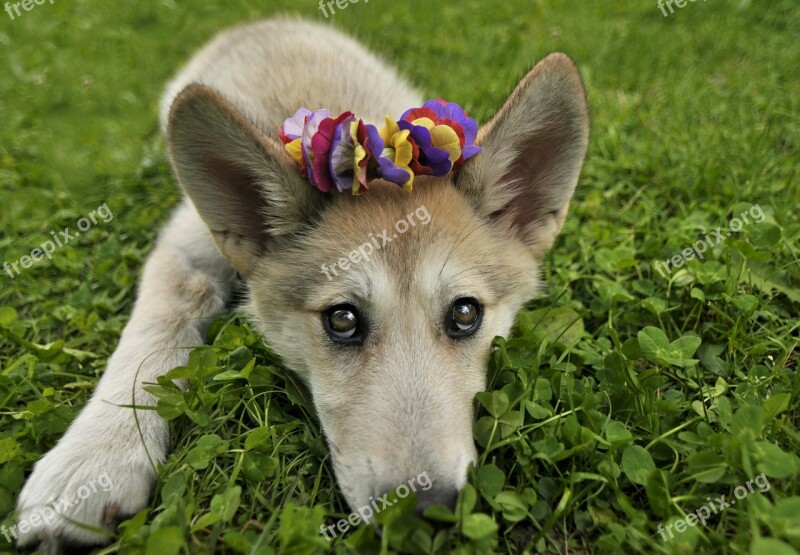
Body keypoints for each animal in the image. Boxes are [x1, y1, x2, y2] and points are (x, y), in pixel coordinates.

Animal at [12, 15, 588, 548]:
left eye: (466, 313)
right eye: (342, 320)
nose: (425, 512)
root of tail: (263, 20)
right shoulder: (184, 248)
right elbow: (152, 337)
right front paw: (94, 459)